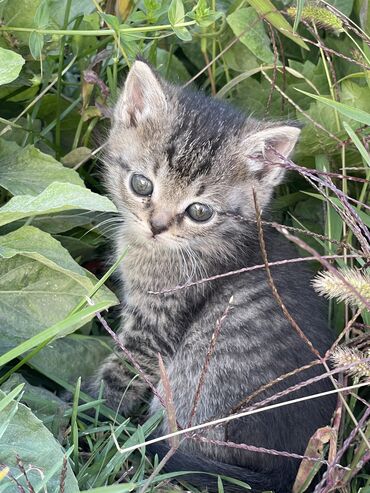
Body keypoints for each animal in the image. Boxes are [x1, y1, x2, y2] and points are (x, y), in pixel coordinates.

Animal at [97, 61, 336, 492]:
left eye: (199, 212)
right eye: (141, 184)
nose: (156, 226)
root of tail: (288, 471)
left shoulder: (154, 328)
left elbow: (120, 376)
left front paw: (87, 414)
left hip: (191, 385)